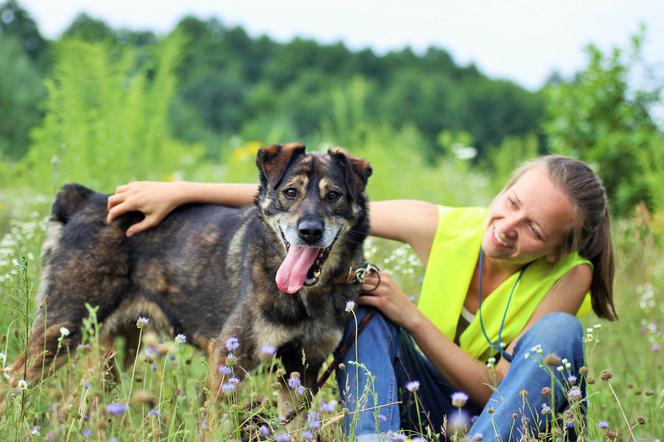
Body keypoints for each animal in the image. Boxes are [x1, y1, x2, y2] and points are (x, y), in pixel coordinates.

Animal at [5, 142, 370, 408]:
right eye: (291, 192)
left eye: (333, 196)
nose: (309, 232)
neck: (309, 295)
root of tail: (87, 199)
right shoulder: (227, 364)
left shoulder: (302, 373)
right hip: (61, 329)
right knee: (11, 379)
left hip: (114, 351)